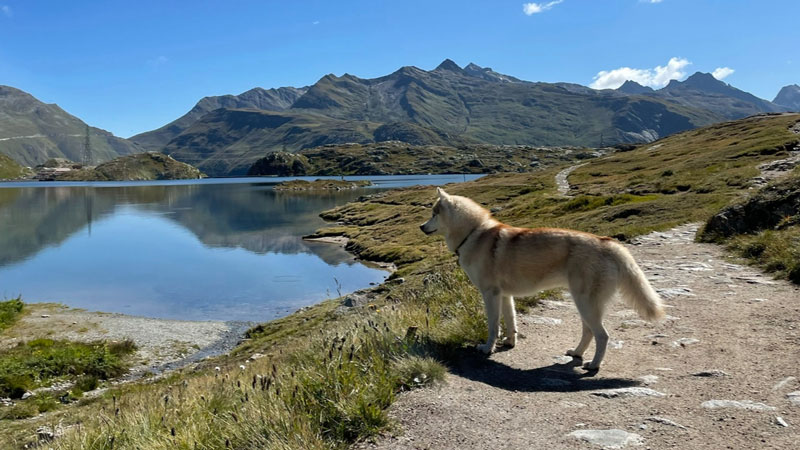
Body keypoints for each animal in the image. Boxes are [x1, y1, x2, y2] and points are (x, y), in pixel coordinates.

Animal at [418, 187, 664, 370]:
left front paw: (488, 348)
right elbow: (511, 323)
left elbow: (493, 326)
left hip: (586, 304)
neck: (473, 233)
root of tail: (609, 243)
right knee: (588, 333)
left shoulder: (490, 294)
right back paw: (576, 353)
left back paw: (593, 365)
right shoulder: (504, 295)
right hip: (584, 304)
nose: (420, 227)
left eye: (433, 213)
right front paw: (510, 343)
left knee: (602, 336)